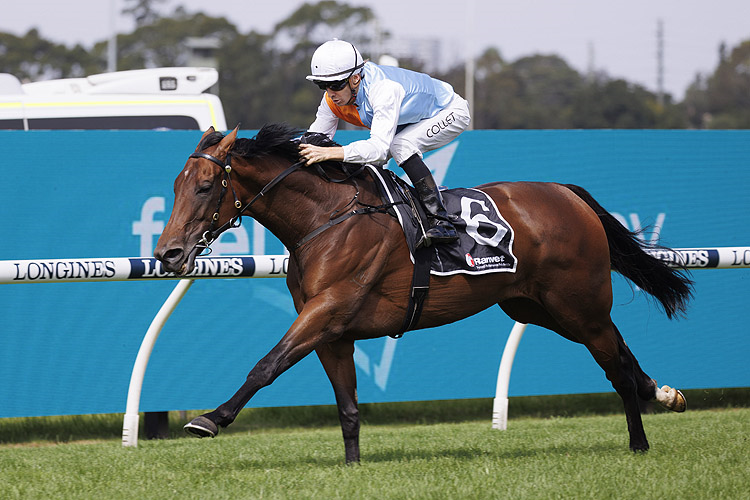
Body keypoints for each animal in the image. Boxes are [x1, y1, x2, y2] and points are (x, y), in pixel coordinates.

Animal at [153, 123, 692, 462]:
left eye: (205, 186)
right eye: (176, 185)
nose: (168, 254)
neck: (325, 220)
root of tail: (566, 193)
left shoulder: (327, 310)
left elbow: (266, 365)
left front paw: (211, 419)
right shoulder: (332, 331)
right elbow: (347, 406)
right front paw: (353, 467)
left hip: (577, 304)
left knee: (615, 367)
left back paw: (639, 442)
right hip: (536, 307)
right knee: (620, 350)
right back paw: (663, 393)